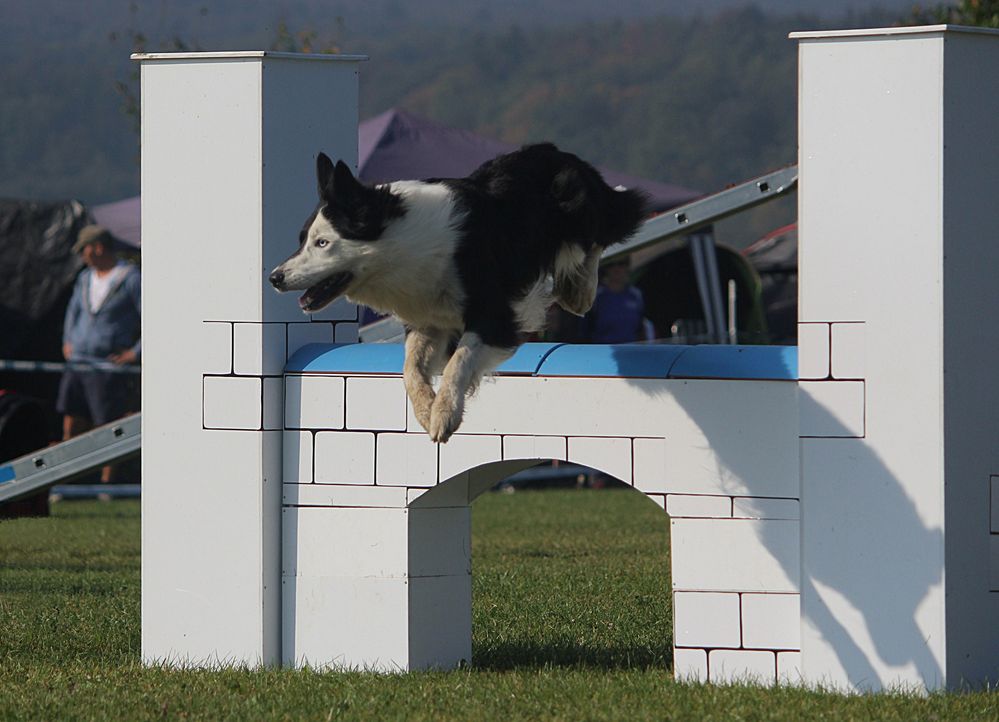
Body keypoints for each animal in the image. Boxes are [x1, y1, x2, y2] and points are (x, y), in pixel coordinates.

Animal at [270, 143, 648, 442]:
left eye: (322, 243)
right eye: (301, 239)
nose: (274, 277)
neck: (403, 243)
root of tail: (555, 151)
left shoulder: (494, 315)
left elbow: (460, 359)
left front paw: (444, 414)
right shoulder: (429, 319)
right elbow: (410, 368)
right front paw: (425, 409)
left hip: (574, 201)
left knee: (606, 228)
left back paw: (578, 290)